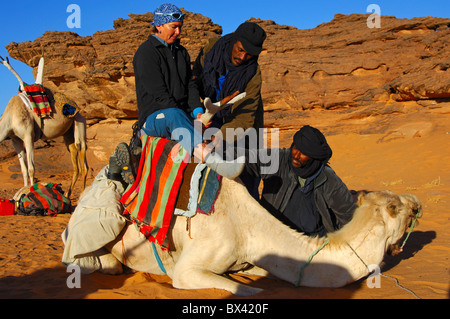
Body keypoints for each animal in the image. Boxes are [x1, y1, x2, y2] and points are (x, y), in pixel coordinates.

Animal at [0, 56, 87, 199]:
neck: (11, 117)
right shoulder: (15, 140)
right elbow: (23, 170)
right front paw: (20, 193)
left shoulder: (28, 136)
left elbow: (31, 169)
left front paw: (30, 191)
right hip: (68, 134)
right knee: (75, 161)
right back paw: (67, 194)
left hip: (79, 123)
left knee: (83, 156)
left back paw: (82, 194)